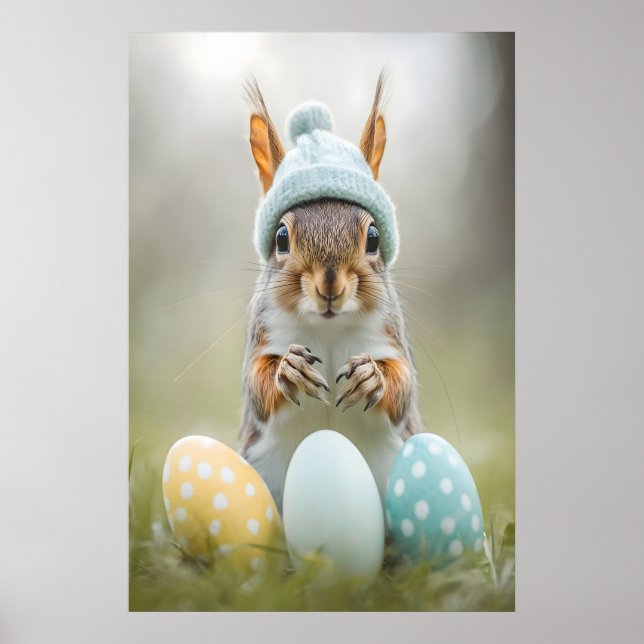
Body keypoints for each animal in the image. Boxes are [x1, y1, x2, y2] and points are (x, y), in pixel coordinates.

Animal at [239, 75, 423, 512]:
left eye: (373, 238)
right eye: (281, 237)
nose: (329, 286)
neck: (328, 329)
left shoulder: (389, 337)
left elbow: (403, 387)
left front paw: (371, 377)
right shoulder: (263, 335)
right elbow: (257, 385)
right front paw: (288, 369)